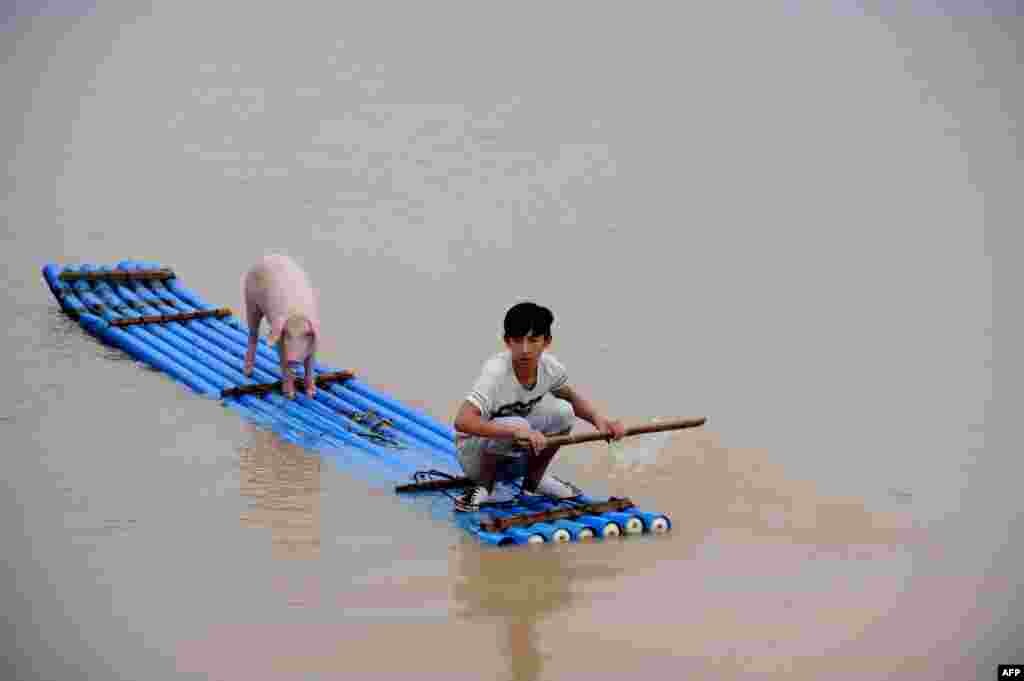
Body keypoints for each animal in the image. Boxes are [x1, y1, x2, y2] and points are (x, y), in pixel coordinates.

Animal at [239, 251, 319, 395]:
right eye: (286, 333)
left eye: (307, 334)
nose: (293, 359)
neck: (296, 312)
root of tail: (269, 256)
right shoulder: (280, 339)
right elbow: (283, 362)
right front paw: (290, 395)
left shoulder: (315, 341)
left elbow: (310, 366)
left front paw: (311, 393)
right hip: (250, 300)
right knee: (253, 333)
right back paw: (247, 372)